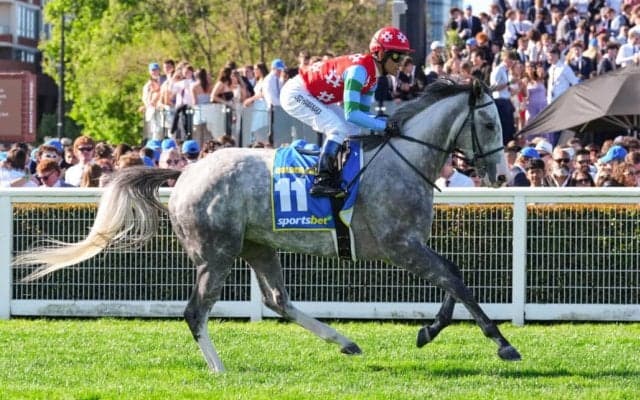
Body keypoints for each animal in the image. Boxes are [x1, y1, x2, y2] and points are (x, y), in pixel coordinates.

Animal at [15, 79, 520, 372]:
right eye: (490, 124)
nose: (498, 176)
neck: (404, 158)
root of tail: (186, 172)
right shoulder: (400, 244)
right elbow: (455, 278)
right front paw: (503, 344)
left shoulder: (411, 244)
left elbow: (452, 283)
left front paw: (429, 330)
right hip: (215, 254)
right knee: (195, 312)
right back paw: (219, 369)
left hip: (259, 246)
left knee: (278, 300)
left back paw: (345, 342)